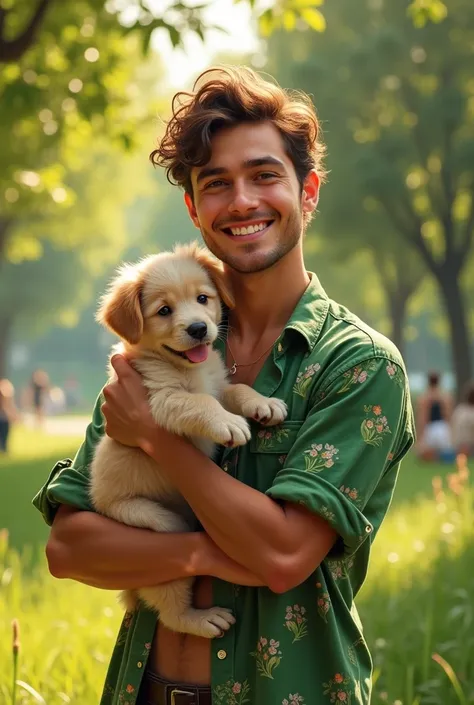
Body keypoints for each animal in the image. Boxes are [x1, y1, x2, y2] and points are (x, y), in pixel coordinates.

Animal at [90, 242, 286, 640]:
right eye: (164, 310)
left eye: (202, 298)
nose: (199, 328)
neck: (189, 369)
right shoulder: (162, 401)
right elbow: (201, 403)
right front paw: (229, 423)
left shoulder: (219, 384)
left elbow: (236, 390)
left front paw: (264, 404)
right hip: (155, 522)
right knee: (170, 612)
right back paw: (203, 619)